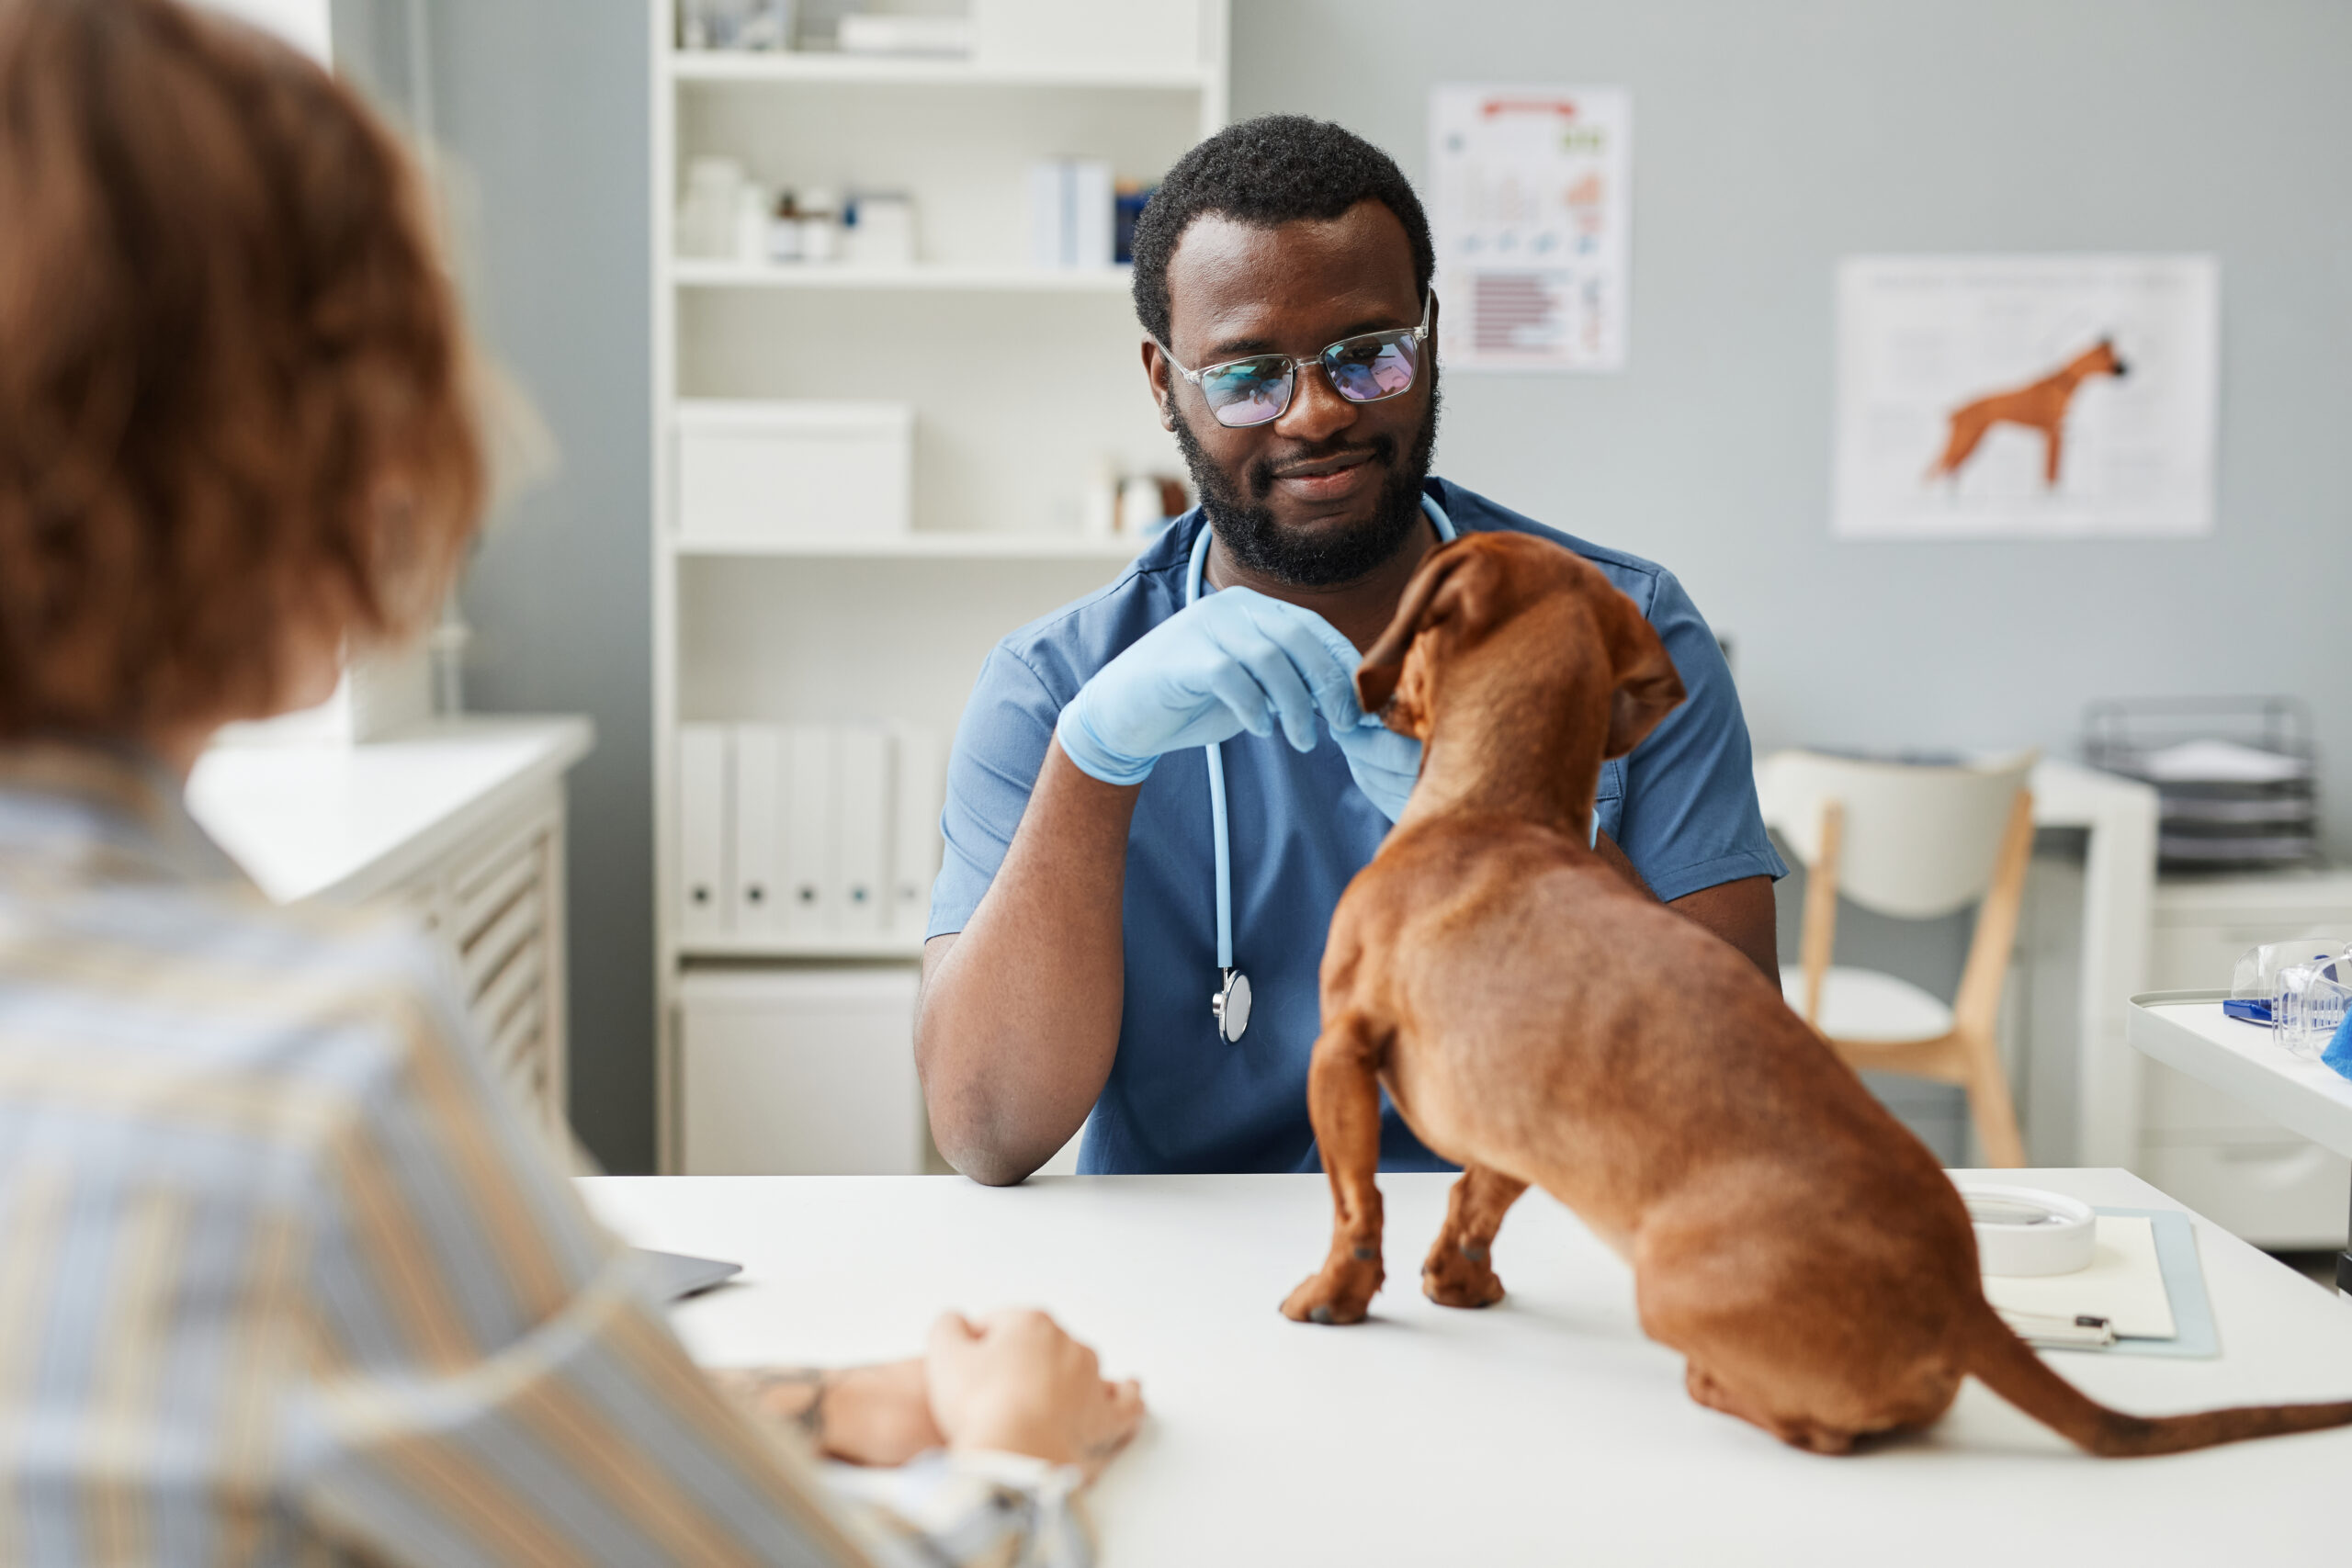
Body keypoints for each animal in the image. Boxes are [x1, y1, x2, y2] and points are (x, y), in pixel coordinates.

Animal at [1288, 531, 2352, 1457]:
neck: (1499, 810)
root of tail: (1965, 1305)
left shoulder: (1340, 1049)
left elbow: (1355, 1203)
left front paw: (1334, 1295)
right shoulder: (1510, 1130)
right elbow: (1472, 1201)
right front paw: (1457, 1281)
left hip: (1665, 1287)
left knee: (1823, 1431)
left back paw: (1718, 1386)